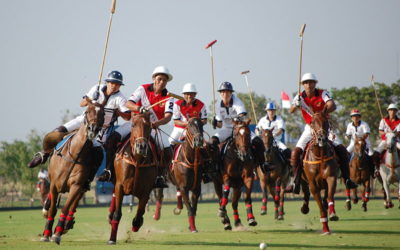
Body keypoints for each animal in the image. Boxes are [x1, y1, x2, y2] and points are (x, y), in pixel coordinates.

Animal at [39, 102, 103, 244]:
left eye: (103, 113)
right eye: (87, 111)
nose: (93, 129)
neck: (75, 154)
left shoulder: (76, 186)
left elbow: (66, 208)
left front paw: (57, 233)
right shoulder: (54, 185)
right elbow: (53, 209)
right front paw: (46, 233)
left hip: (82, 188)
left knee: (73, 206)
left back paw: (66, 225)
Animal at [107, 113, 159, 244]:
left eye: (149, 125)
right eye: (133, 124)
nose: (141, 146)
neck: (137, 160)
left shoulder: (146, 191)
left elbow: (139, 213)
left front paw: (136, 225)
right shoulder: (120, 186)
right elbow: (117, 214)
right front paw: (112, 239)